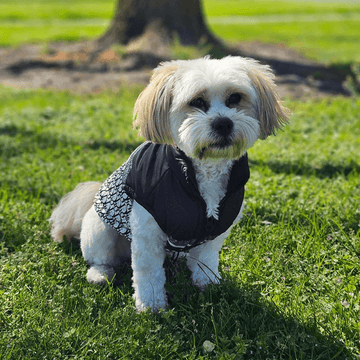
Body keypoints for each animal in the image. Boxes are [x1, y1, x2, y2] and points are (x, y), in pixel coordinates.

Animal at [49, 56, 290, 312]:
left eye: (235, 98)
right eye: (197, 101)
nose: (223, 123)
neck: (201, 172)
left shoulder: (217, 230)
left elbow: (206, 259)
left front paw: (208, 283)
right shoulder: (147, 232)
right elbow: (149, 273)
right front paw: (152, 304)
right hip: (99, 230)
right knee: (101, 259)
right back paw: (99, 274)